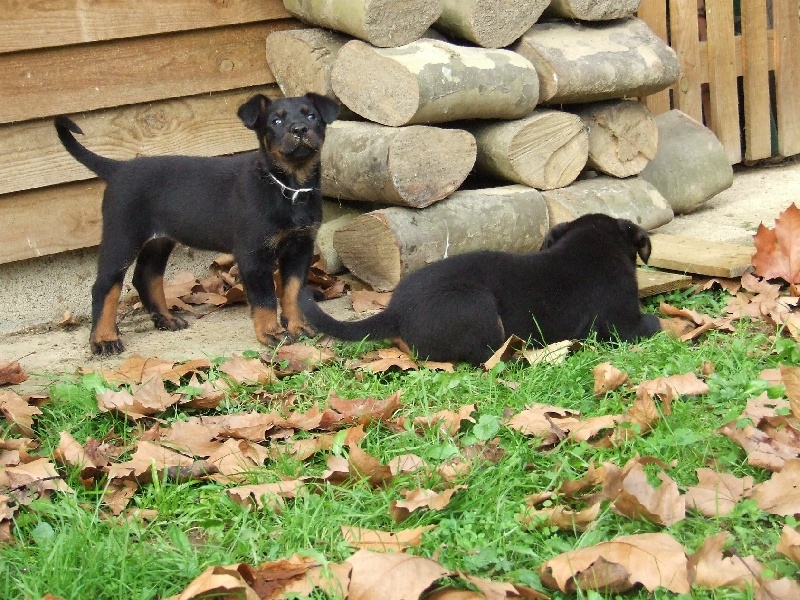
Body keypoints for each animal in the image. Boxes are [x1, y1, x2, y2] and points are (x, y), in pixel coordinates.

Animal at [55, 93, 338, 354]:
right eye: (276, 121)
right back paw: (104, 339)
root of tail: (118, 169)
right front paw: (271, 334)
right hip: (121, 236)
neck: (288, 187)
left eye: (311, 116)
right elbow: (265, 298)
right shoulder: (253, 255)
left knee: (145, 276)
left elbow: (293, 291)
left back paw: (166, 319)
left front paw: (298, 326)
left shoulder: (300, 248)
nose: (299, 129)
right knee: (105, 285)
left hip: (159, 240)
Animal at [300, 214, 664, 366]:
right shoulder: (623, 325)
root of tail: (395, 312)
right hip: (477, 305)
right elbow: (655, 324)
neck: (589, 244)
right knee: (483, 357)